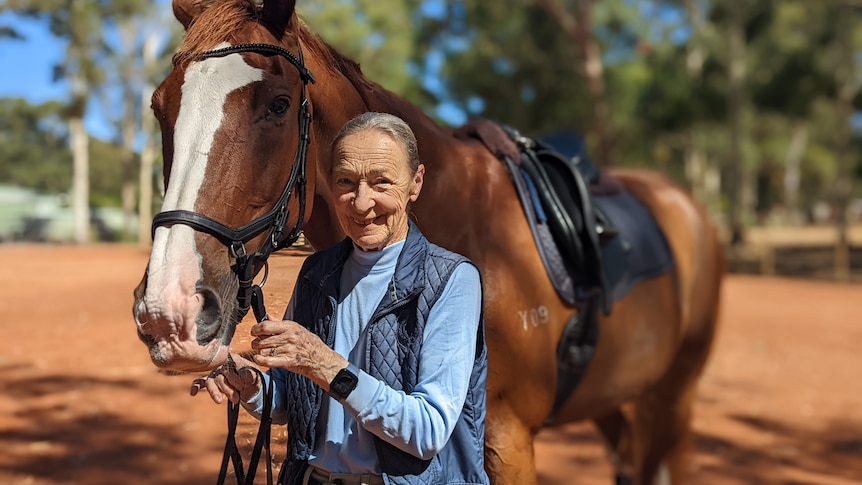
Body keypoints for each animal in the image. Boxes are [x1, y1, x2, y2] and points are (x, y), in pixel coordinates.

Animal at [132, 1, 724, 482]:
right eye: (161, 107)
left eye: (278, 104)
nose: (170, 311)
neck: (462, 225)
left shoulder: (509, 440)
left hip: (674, 396)